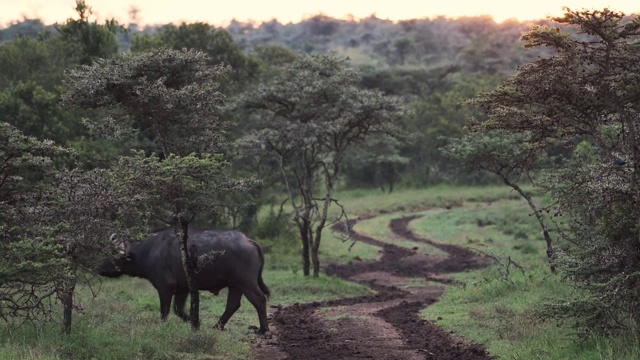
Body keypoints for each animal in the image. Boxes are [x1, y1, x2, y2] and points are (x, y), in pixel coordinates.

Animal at [97, 228, 270, 334]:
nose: (99, 268)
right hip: (235, 285)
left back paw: (263, 329)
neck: (149, 251)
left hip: (246, 282)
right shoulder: (183, 289)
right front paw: (196, 324)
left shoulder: (165, 287)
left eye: (113, 255)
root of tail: (249, 241)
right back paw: (216, 326)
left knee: (259, 299)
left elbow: (165, 310)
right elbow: (179, 310)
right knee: (233, 304)